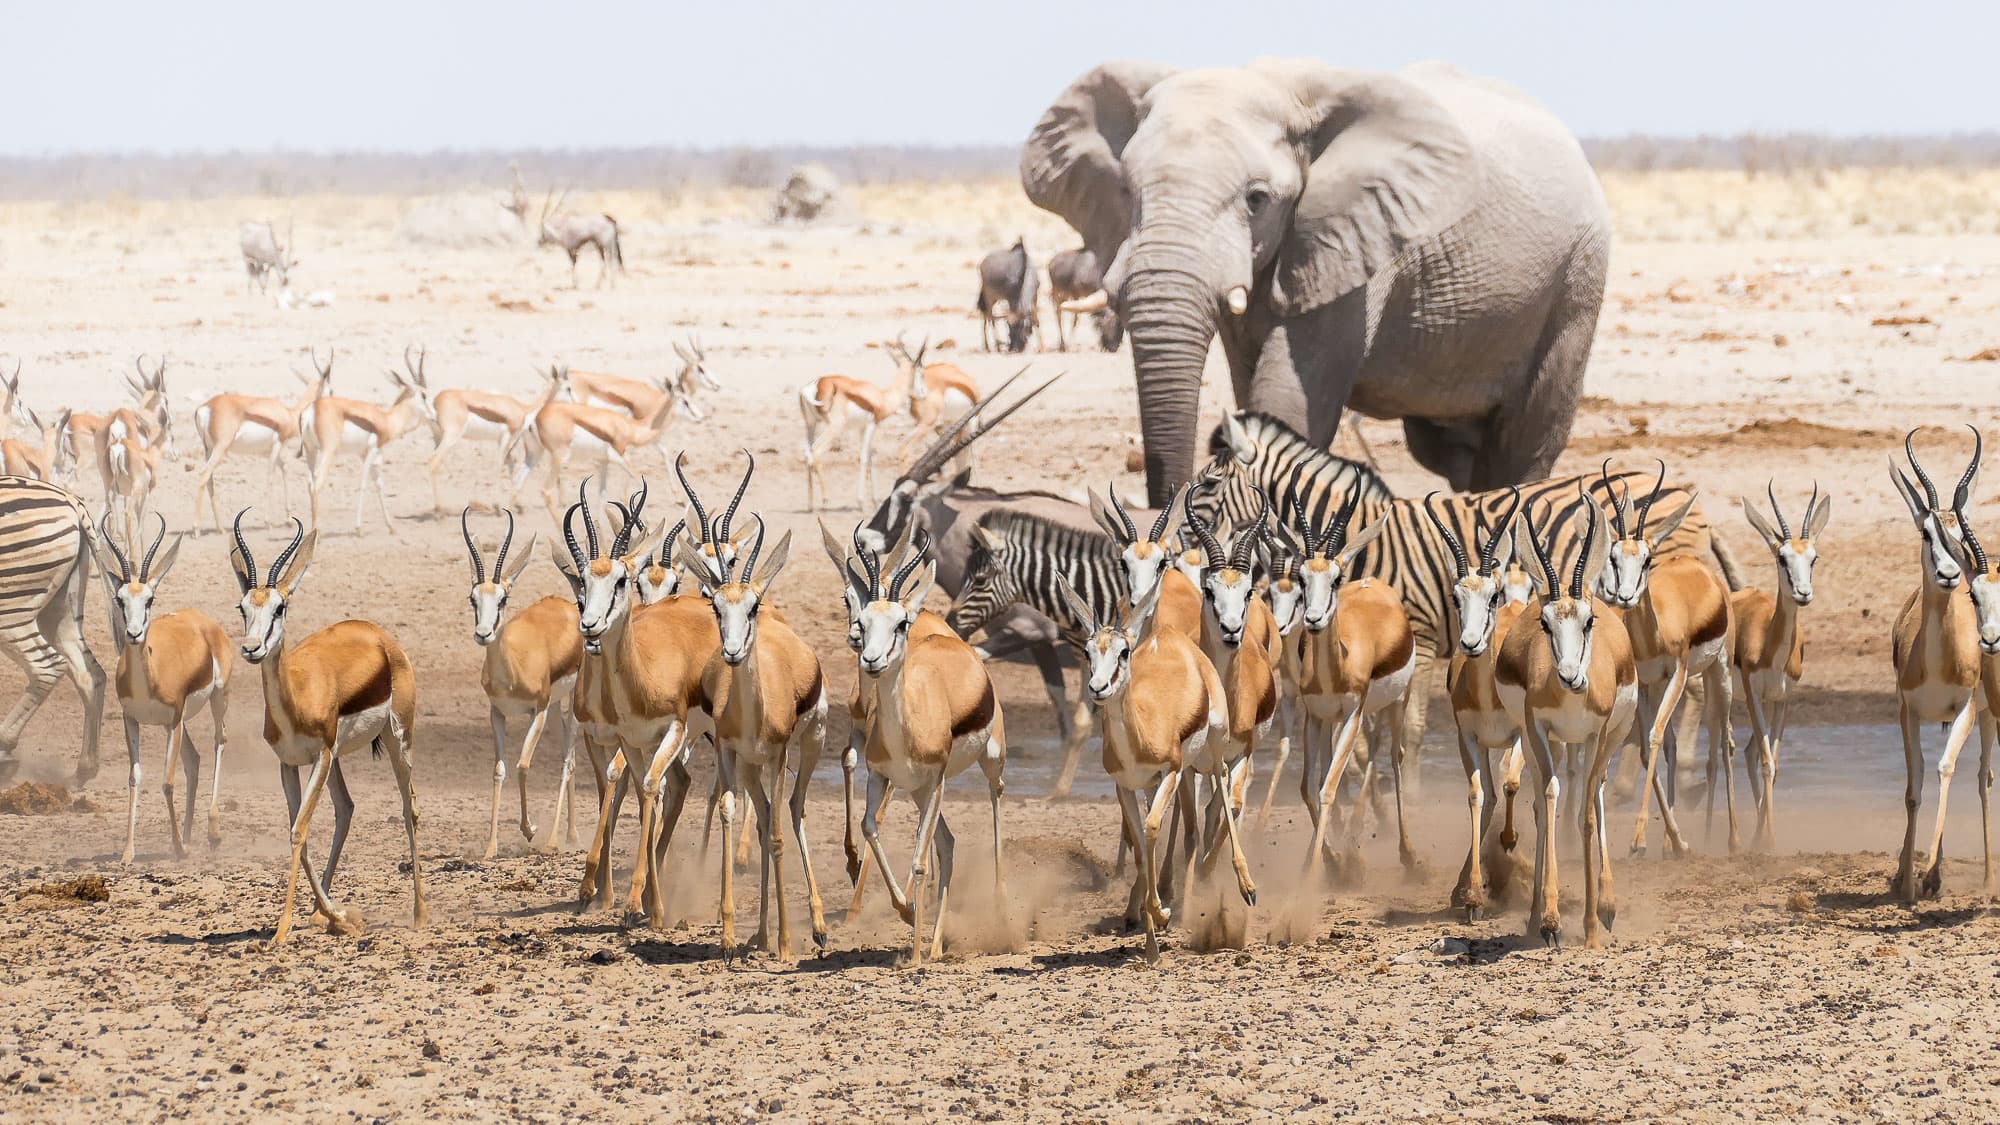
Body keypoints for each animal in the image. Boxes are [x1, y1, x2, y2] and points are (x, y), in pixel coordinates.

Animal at [0, 477, 105, 785]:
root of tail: (70, 500)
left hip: (11, 612)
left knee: (46, 667)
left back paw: (4, 748)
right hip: (62, 611)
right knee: (90, 674)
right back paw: (85, 768)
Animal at [1021, 58, 1609, 506]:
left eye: (1257, 199)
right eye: (1125, 190)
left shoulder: (1357, 238)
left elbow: (1288, 401)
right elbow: (1251, 385)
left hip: (1576, 279)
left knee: (1522, 444)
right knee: (1448, 448)